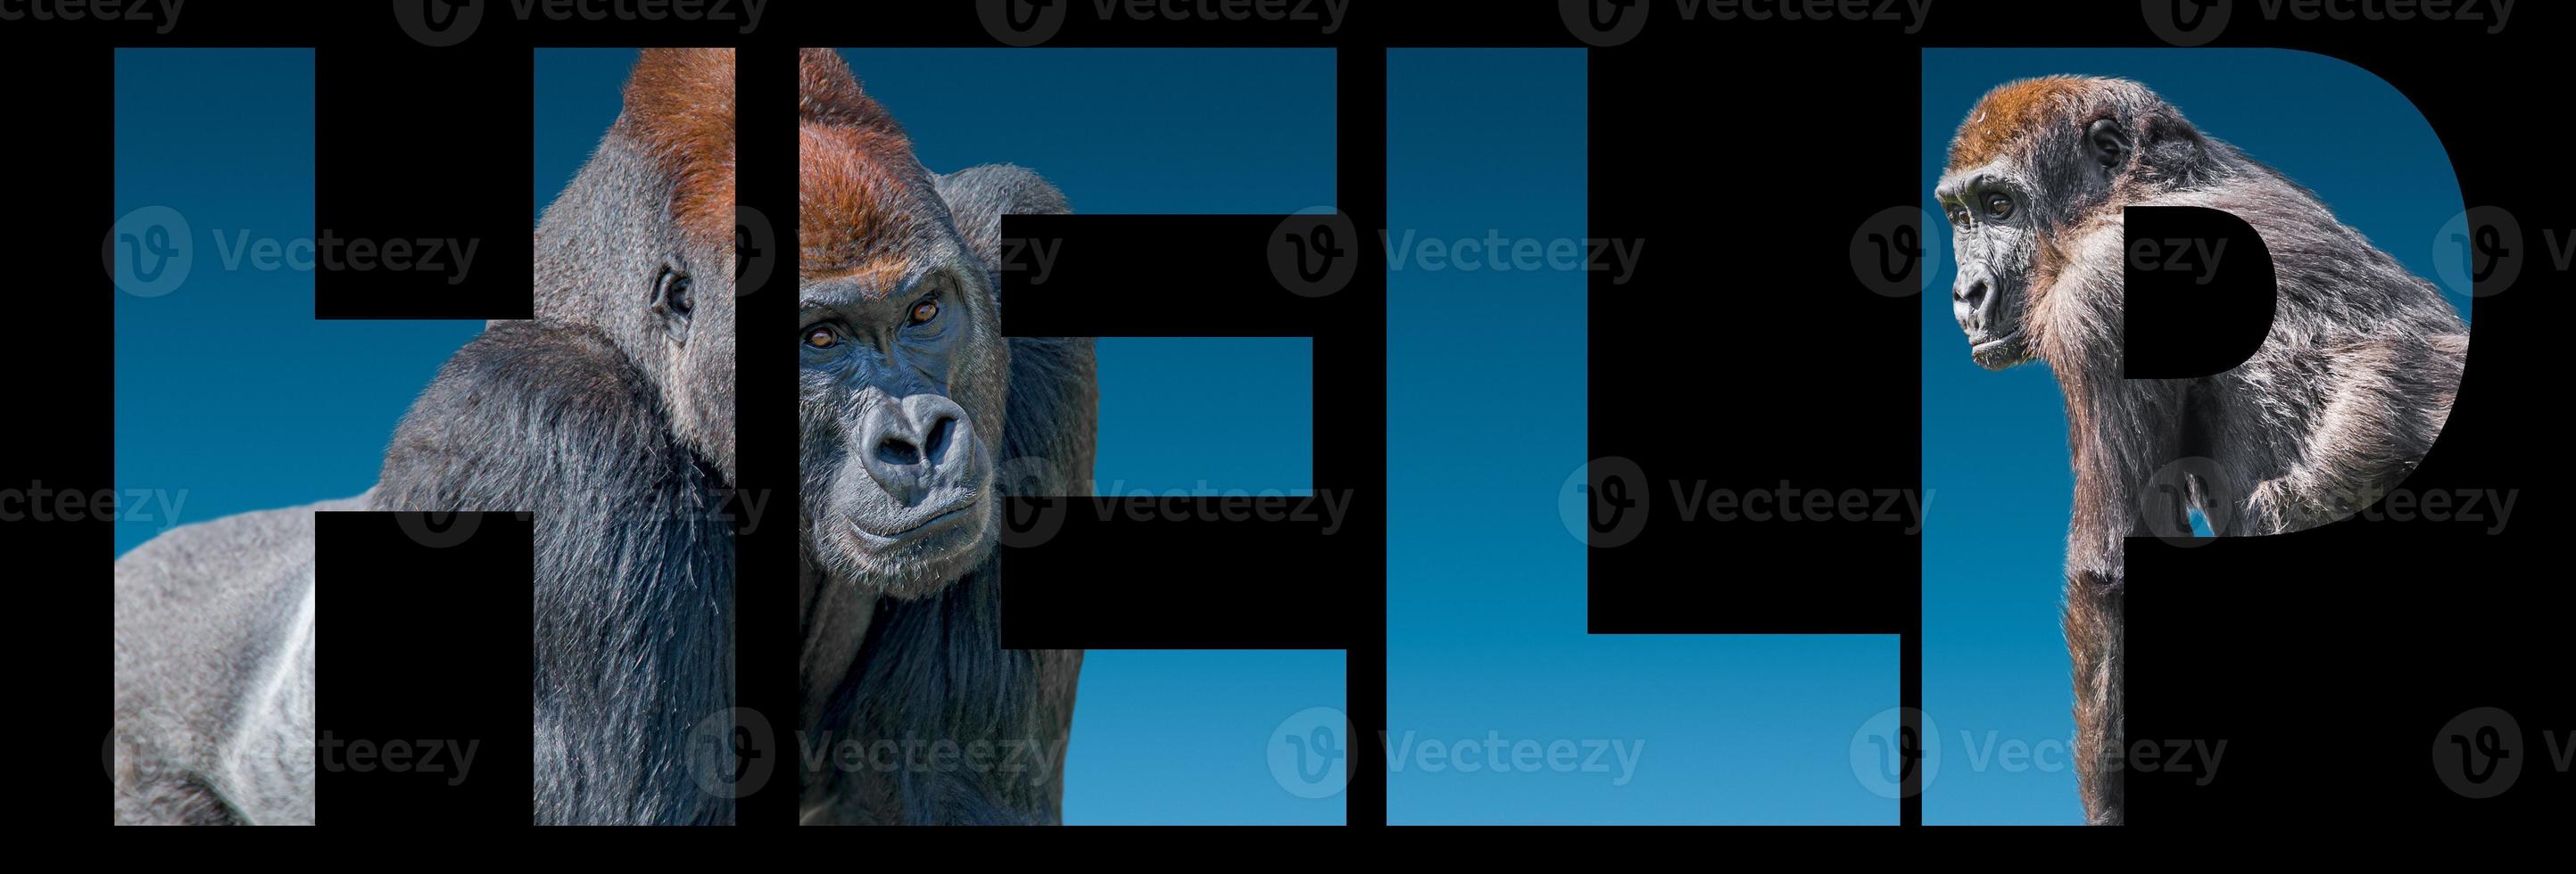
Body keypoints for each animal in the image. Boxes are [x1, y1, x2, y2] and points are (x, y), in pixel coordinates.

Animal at [1937, 77, 2462, 829]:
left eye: (2000, 206)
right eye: (1959, 215)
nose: (1965, 294)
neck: (2137, 185)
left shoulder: (2099, 291)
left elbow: (2109, 575)